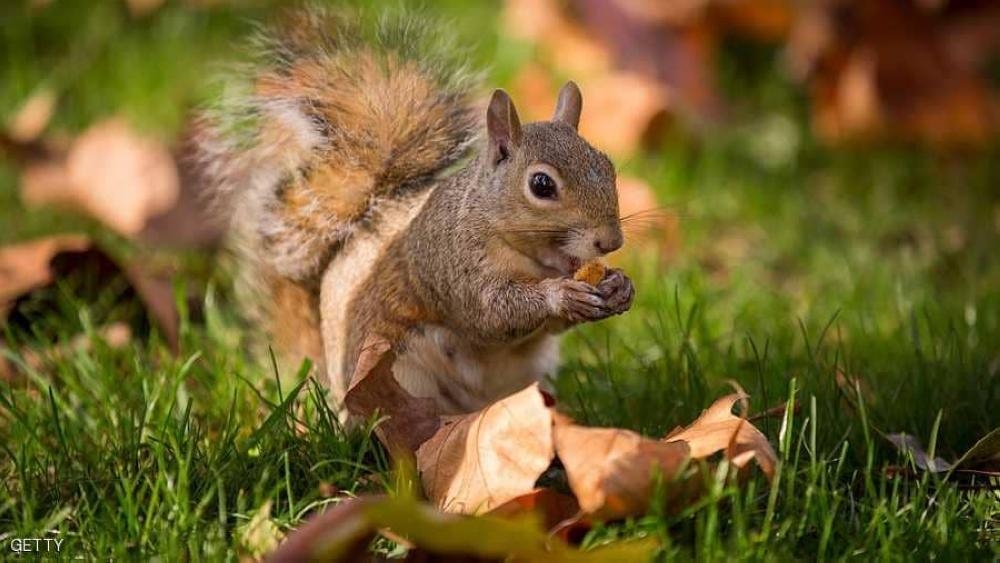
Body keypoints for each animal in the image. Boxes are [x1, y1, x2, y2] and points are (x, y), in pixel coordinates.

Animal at [191, 7, 636, 424]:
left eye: (608, 165)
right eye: (541, 185)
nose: (611, 241)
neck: (532, 255)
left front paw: (619, 287)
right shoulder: (450, 261)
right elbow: (490, 312)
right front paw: (560, 294)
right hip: (399, 371)